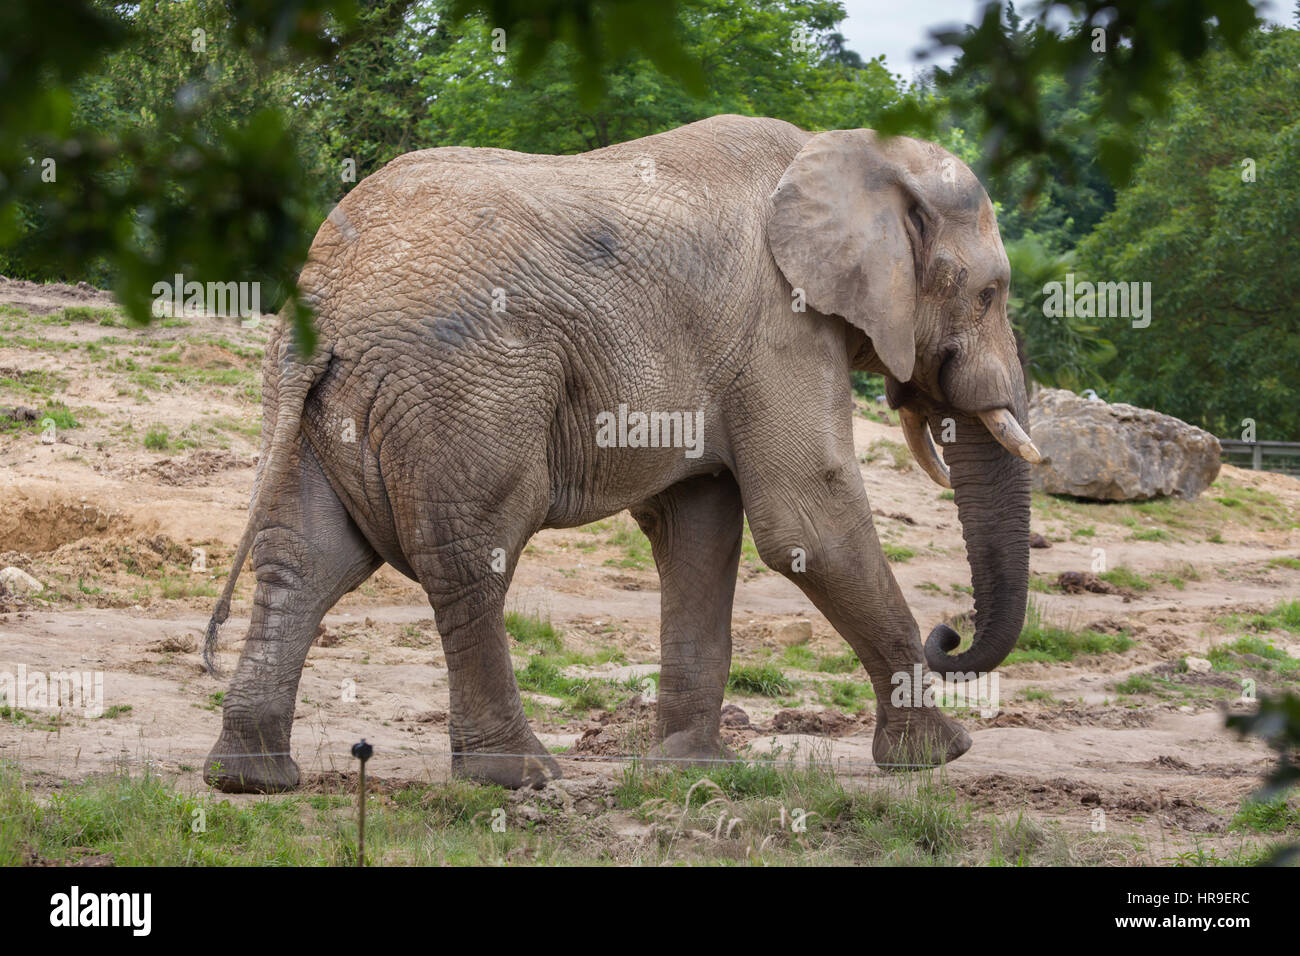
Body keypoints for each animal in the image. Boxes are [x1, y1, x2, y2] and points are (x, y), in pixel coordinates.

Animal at [201, 114, 1037, 793]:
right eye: (991, 294)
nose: (949, 633)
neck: (856, 154)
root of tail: (329, 296)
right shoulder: (780, 324)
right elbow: (811, 519)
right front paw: (940, 757)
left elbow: (697, 529)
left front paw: (691, 770)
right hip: (463, 390)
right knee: (470, 556)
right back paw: (520, 777)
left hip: (313, 404)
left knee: (307, 560)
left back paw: (251, 779)